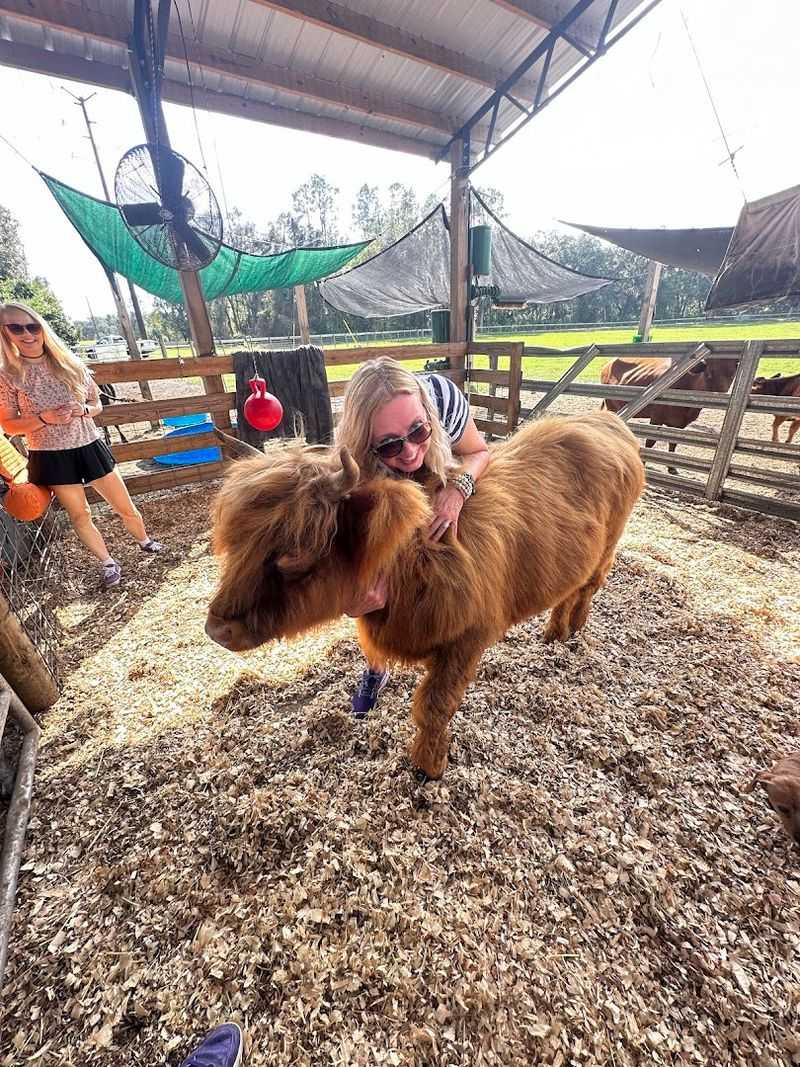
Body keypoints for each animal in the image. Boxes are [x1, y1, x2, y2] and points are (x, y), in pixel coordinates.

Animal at [205, 411, 645, 781]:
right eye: (234, 543)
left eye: (293, 555)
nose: (217, 629)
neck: (410, 562)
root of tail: (607, 419)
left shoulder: (468, 639)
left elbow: (434, 707)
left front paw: (427, 766)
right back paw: (554, 633)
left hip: (609, 545)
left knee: (587, 587)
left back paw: (573, 630)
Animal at [600, 356, 740, 474]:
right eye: (709, 372)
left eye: (733, 371)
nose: (721, 392)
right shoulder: (656, 417)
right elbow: (650, 442)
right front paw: (643, 463)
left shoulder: (681, 424)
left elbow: (673, 443)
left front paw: (672, 467)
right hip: (611, 406)